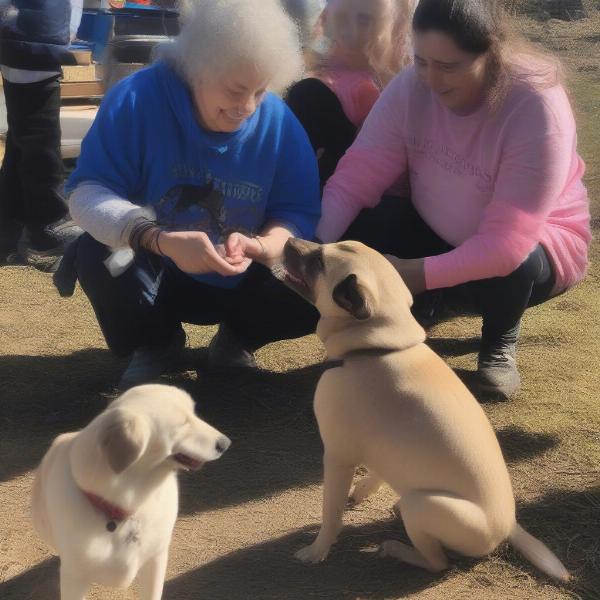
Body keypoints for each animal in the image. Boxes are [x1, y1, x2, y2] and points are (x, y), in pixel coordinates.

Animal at [31, 384, 232, 600]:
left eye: (194, 414)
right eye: (182, 423)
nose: (226, 443)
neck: (127, 509)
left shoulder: (156, 560)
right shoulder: (74, 577)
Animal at [274, 238, 568, 580]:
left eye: (320, 260)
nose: (287, 240)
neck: (378, 348)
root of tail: (508, 528)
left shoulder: (337, 457)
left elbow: (330, 515)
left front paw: (316, 551)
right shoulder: (380, 450)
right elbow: (378, 471)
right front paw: (363, 490)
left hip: (422, 505)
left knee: (438, 563)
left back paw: (397, 549)